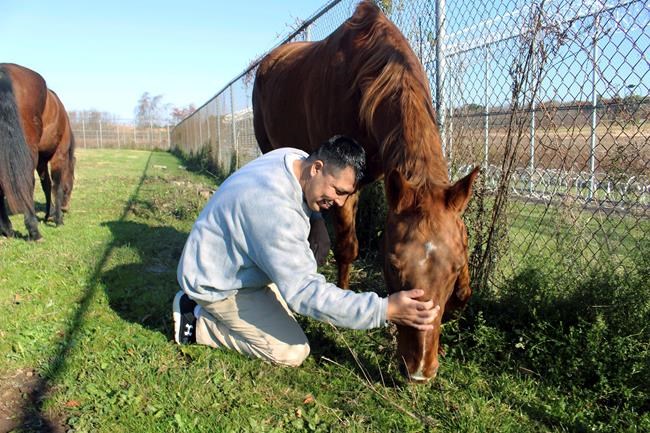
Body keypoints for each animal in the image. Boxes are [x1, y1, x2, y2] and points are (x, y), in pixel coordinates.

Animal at [0, 63, 76, 240]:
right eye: (72, 181)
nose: (66, 208)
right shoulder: (59, 155)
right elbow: (56, 186)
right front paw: (58, 219)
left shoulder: (41, 161)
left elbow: (46, 185)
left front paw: (49, 214)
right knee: (27, 183)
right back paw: (33, 230)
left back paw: (8, 229)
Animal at [253, 1, 479, 381]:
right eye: (392, 265)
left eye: (451, 267)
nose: (420, 370)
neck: (366, 80)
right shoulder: (345, 185)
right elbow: (348, 247)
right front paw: (341, 305)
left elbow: (465, 284)